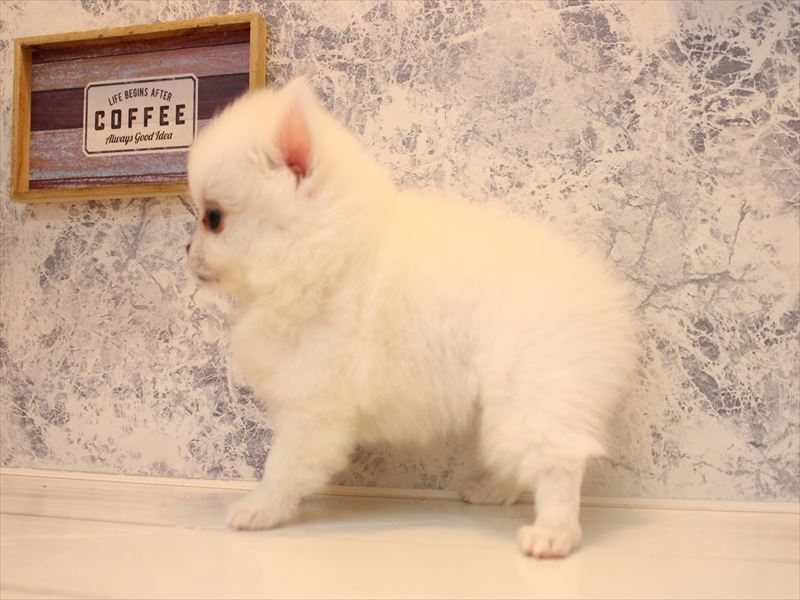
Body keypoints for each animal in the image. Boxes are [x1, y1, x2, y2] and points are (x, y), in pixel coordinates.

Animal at [186, 77, 638, 558]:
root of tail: (605, 301)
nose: (186, 248)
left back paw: (554, 533)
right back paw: (493, 492)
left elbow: (282, 466)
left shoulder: (311, 404)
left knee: (558, 465)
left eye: (213, 218)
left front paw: (261, 509)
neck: (327, 250)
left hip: (533, 389)